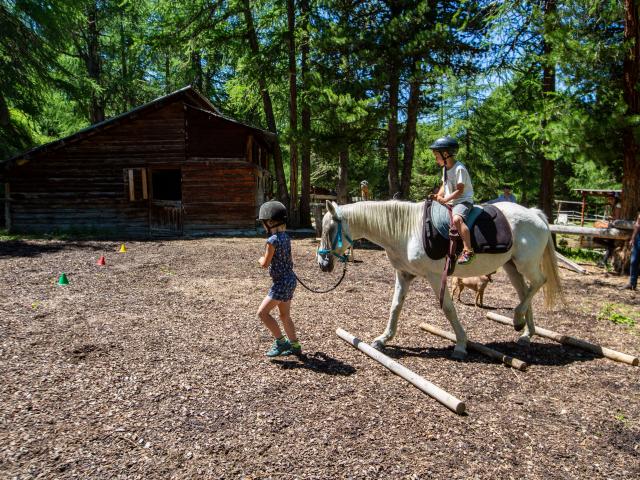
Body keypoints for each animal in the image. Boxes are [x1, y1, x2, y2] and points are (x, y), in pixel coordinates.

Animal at [318, 200, 564, 360]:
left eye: (330, 229)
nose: (322, 263)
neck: (406, 231)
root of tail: (534, 214)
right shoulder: (404, 274)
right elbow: (395, 307)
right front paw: (383, 339)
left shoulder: (436, 277)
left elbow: (448, 308)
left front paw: (461, 345)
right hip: (511, 266)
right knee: (524, 291)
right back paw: (525, 332)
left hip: (525, 264)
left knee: (538, 282)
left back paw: (518, 319)